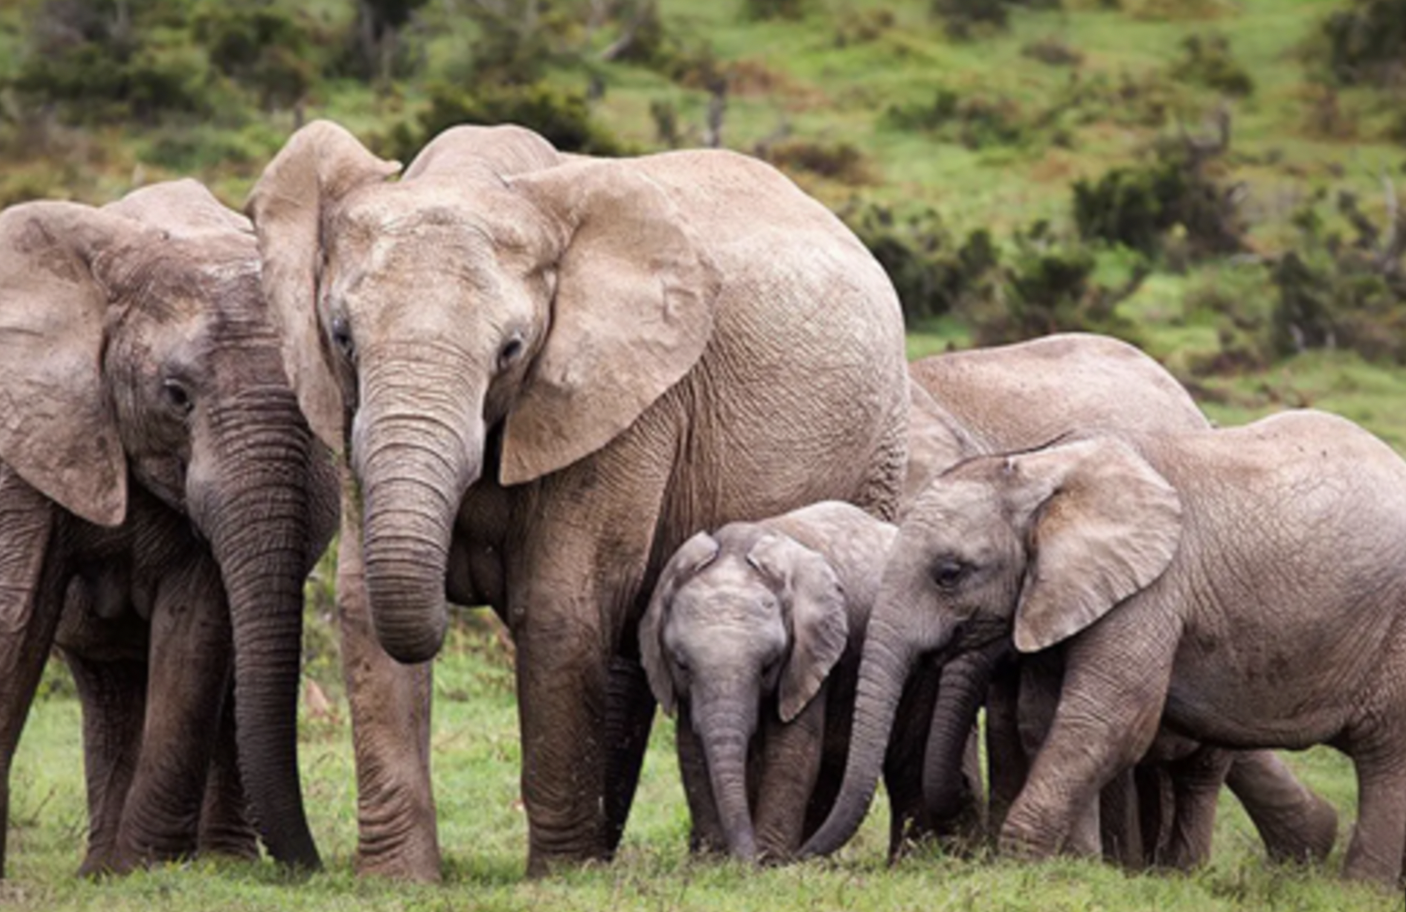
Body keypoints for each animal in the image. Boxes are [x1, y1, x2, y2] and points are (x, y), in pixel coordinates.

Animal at [0, 179, 337, 876]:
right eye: (177, 396)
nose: (315, 868)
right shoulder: (31, 432)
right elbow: (16, 614)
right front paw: (134, 870)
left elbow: (195, 632)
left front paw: (149, 867)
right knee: (108, 682)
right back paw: (100, 870)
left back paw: (214, 864)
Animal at [641, 497, 894, 860]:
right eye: (682, 665)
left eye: (769, 665)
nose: (744, 861)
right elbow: (691, 751)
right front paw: (710, 860)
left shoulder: (810, 656)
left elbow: (791, 748)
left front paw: (770, 859)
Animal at [804, 410, 1406, 888]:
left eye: (949, 573)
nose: (802, 858)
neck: (1044, 471)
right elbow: (1043, 720)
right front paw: (1074, 864)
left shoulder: (1153, 587)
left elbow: (1104, 718)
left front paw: (1020, 864)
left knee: (1386, 756)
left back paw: (1358, 891)